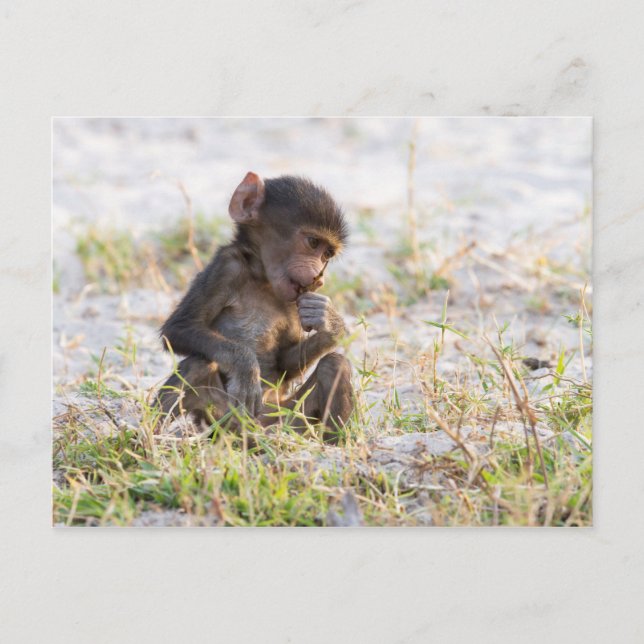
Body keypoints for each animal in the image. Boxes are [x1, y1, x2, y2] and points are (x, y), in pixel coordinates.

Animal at [157, 172, 354, 440]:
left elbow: (285, 362)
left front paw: (329, 322)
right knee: (196, 364)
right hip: (223, 418)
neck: (262, 279)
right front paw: (246, 367)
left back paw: (332, 443)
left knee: (335, 365)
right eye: (313, 242)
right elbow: (178, 328)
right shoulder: (227, 266)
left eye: (327, 254)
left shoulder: (293, 301)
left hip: (288, 418)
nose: (318, 278)